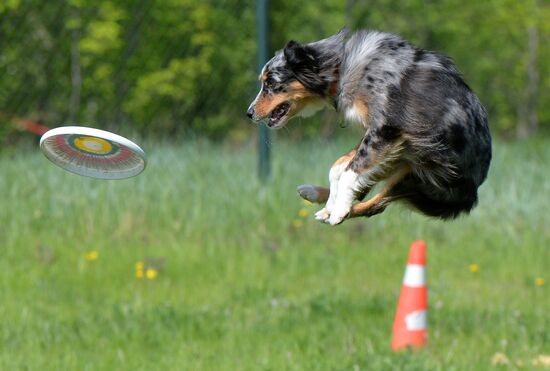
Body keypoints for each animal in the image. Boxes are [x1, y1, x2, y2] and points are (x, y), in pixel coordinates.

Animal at [248, 27, 494, 225]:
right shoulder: (384, 137)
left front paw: (338, 209)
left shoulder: (386, 130)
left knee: (375, 206)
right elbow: (339, 167)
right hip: (408, 157)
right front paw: (333, 202)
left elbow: (349, 172)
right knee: (365, 189)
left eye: (270, 84)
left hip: (419, 174)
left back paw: (339, 213)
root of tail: (473, 194)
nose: (249, 113)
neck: (341, 69)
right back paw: (318, 197)